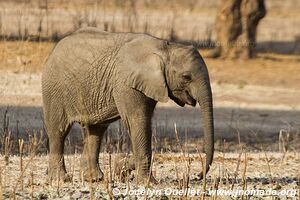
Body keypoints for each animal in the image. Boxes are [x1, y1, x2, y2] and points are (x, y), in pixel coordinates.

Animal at [42, 27, 214, 184]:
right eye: (186, 77)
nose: (198, 175)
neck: (165, 48)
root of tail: (54, 50)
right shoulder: (127, 84)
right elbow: (138, 122)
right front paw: (147, 182)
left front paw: (123, 167)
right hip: (54, 89)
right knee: (59, 131)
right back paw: (61, 179)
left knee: (96, 130)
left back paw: (94, 179)